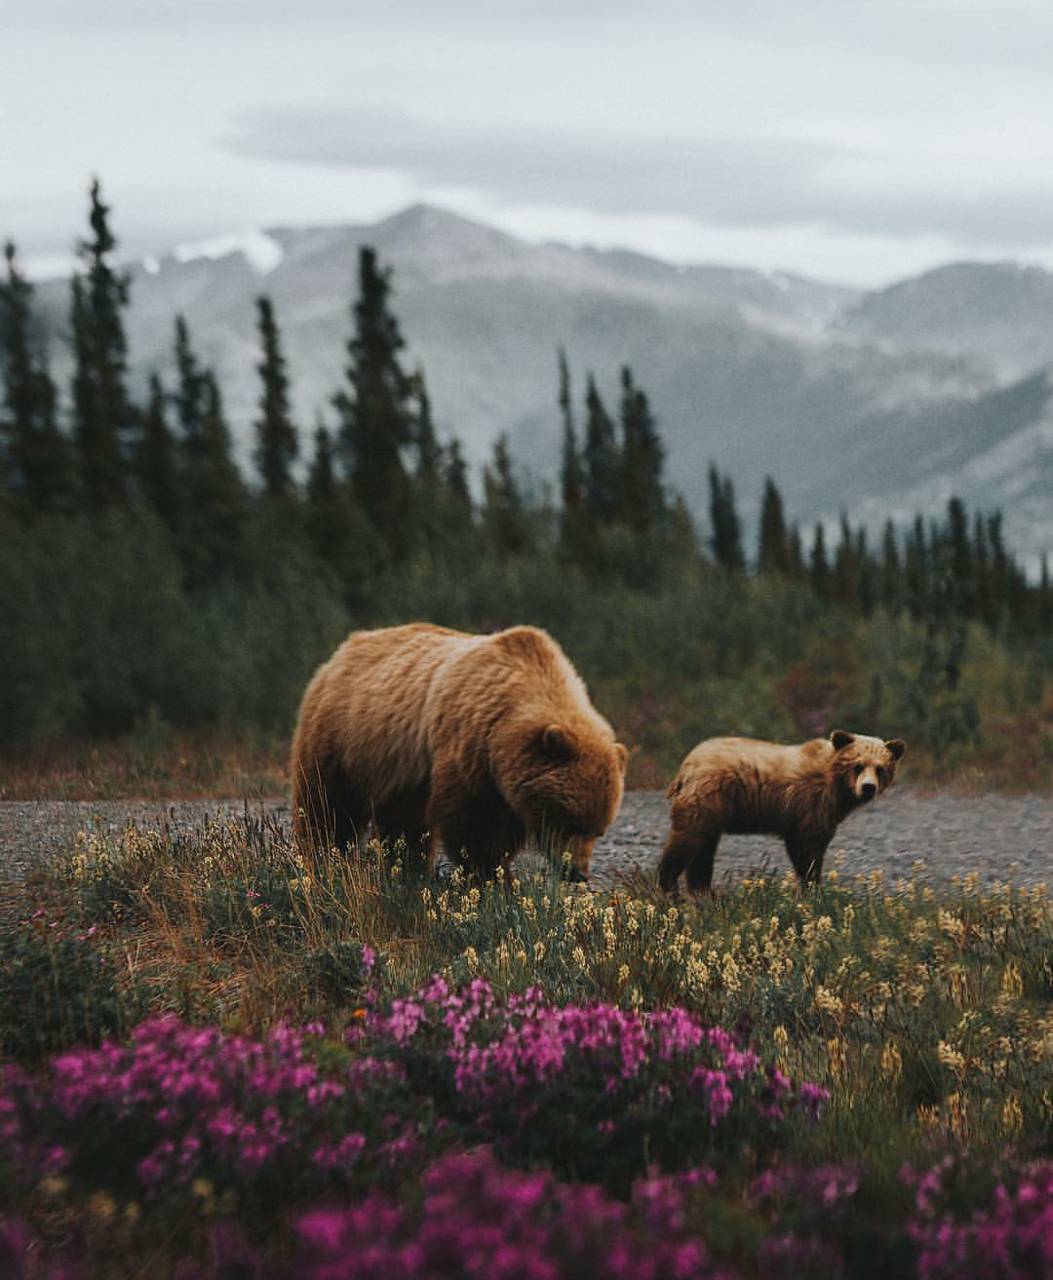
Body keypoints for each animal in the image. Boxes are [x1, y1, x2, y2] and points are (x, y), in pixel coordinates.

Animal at [290, 622, 628, 880]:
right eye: (569, 821)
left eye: (599, 830)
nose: (578, 873)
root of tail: (340, 652)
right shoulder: (469, 749)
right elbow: (472, 824)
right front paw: (490, 875)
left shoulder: (506, 781)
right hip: (341, 740)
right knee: (327, 806)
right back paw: (324, 857)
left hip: (398, 770)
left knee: (403, 825)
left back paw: (407, 869)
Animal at [658, 730, 905, 893]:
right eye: (858, 765)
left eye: (880, 769)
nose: (868, 788)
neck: (836, 785)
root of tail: (688, 763)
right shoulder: (812, 804)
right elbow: (807, 848)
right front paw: (813, 888)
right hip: (708, 795)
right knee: (687, 840)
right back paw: (669, 886)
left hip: (713, 809)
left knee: (703, 849)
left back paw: (702, 892)